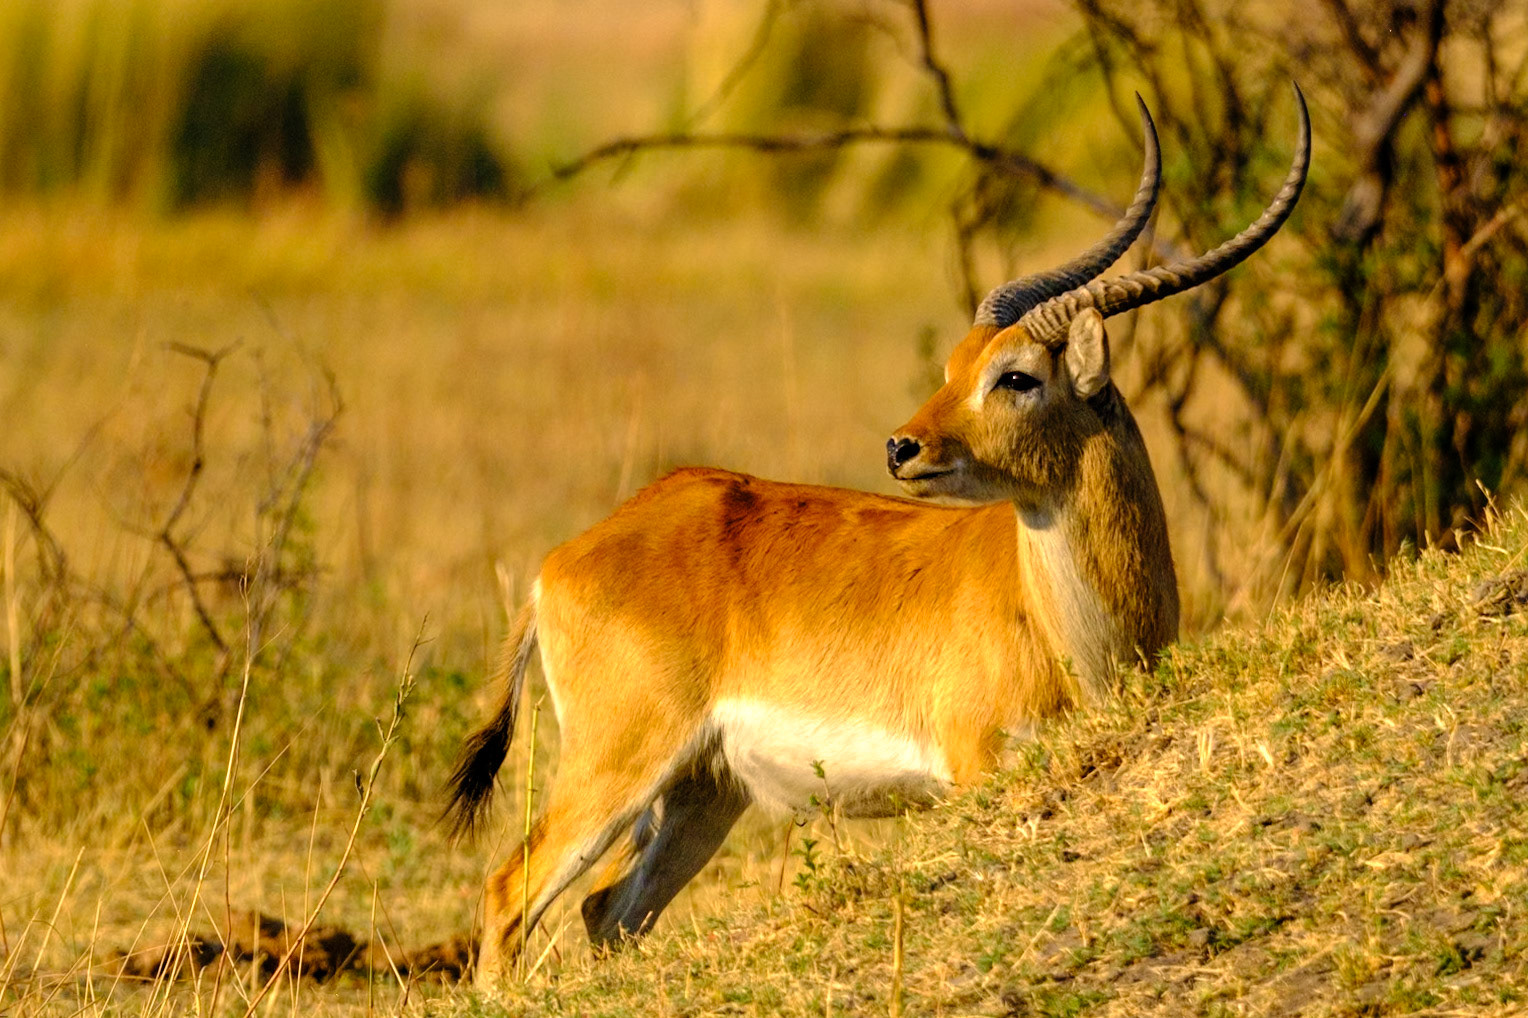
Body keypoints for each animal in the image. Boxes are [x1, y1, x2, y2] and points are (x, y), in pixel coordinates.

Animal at [447, 87, 1309, 984]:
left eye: (1014, 376)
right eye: (955, 367)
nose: (903, 447)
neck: (1071, 630)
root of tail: (559, 562)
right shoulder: (976, 771)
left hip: (701, 791)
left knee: (604, 910)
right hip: (619, 765)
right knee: (509, 892)